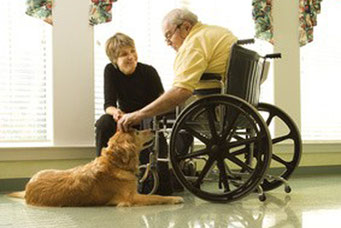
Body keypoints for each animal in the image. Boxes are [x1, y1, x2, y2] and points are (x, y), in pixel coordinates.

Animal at [7, 129, 183, 208]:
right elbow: (157, 197)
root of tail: (28, 187)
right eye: (138, 132)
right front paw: (174, 198)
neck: (115, 163)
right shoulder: (130, 199)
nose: (153, 129)